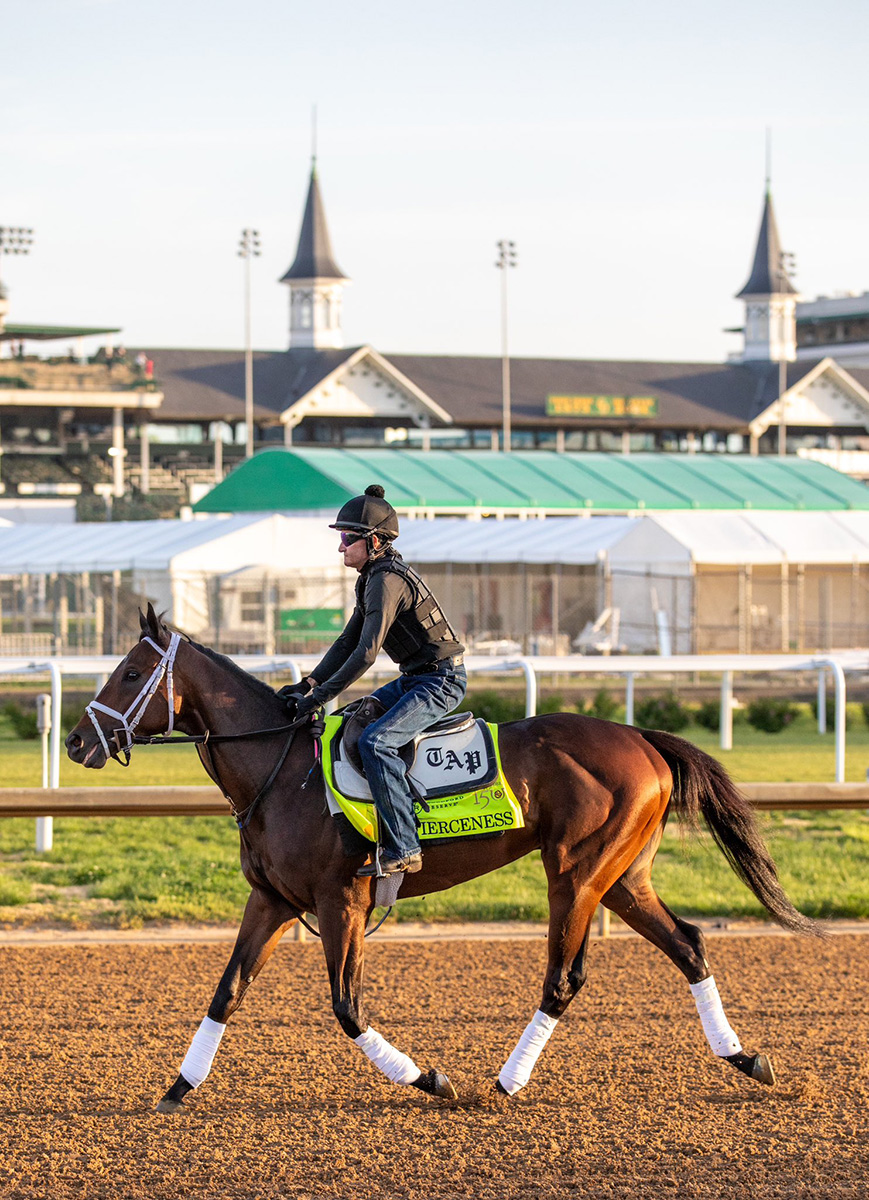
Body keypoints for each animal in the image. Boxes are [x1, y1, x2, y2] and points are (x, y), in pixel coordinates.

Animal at [66, 604, 816, 1108]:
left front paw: (429, 1078)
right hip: (622, 877)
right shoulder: (273, 900)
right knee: (687, 944)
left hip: (575, 873)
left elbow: (346, 1007)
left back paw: (505, 1083)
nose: (76, 742)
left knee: (563, 978)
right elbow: (227, 991)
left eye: (129, 672)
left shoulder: (341, 902)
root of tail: (641, 736)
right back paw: (745, 1058)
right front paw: (177, 1087)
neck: (281, 771)